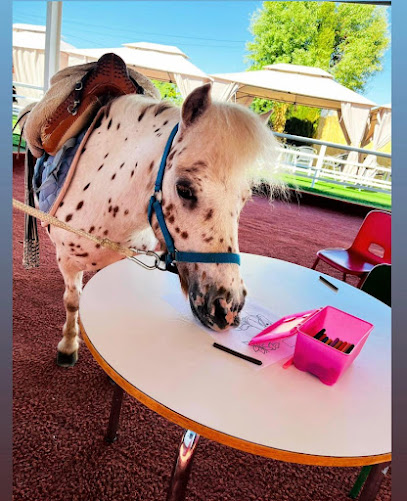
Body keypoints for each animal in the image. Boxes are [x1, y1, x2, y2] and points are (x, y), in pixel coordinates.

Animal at [26, 81, 280, 364]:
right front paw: (69, 346)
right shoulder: (67, 261)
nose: (227, 307)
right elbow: (72, 302)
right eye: (184, 190)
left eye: (245, 198)